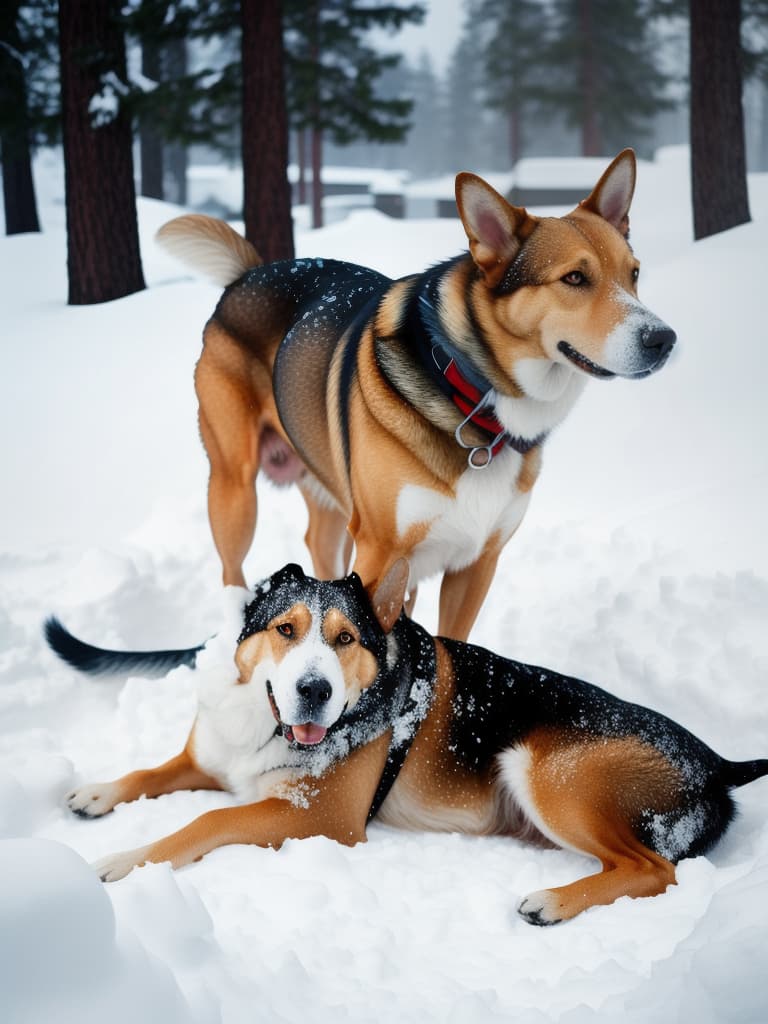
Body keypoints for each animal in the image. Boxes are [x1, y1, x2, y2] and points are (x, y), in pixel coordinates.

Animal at [46, 565, 765, 925]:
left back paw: (552, 902)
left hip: (549, 774)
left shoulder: (320, 817)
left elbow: (205, 821)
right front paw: (97, 793)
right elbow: (151, 771)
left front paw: (123, 861)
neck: (267, 718)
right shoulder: (211, 758)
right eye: (285, 629)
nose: (314, 690)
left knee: (654, 869)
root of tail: (716, 763)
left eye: (345, 639)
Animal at [159, 148, 675, 638]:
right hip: (234, 487)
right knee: (232, 572)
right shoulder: (379, 552)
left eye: (634, 274)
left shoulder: (476, 561)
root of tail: (248, 275)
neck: (469, 394)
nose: (663, 339)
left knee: (317, 548)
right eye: (574, 278)